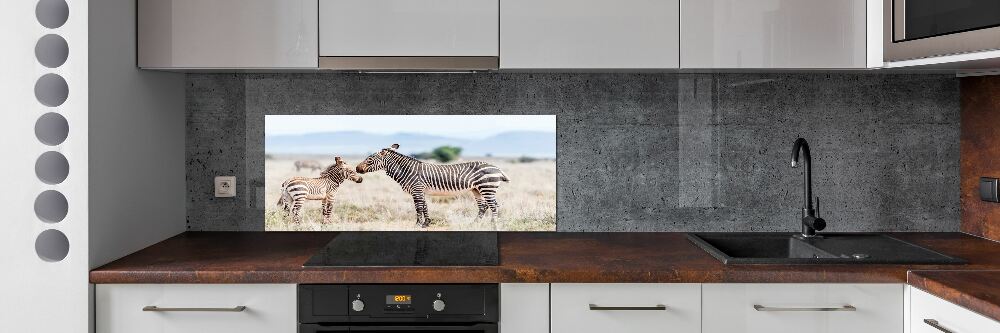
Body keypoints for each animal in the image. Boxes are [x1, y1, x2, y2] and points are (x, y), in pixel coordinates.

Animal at [358, 143, 512, 226]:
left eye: (369, 159)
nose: (357, 169)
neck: (407, 171)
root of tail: (497, 168)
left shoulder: (417, 189)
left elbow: (419, 207)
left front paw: (417, 224)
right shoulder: (421, 191)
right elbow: (425, 206)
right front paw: (426, 223)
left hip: (487, 188)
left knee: (494, 205)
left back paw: (493, 224)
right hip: (476, 190)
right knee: (483, 206)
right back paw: (474, 224)